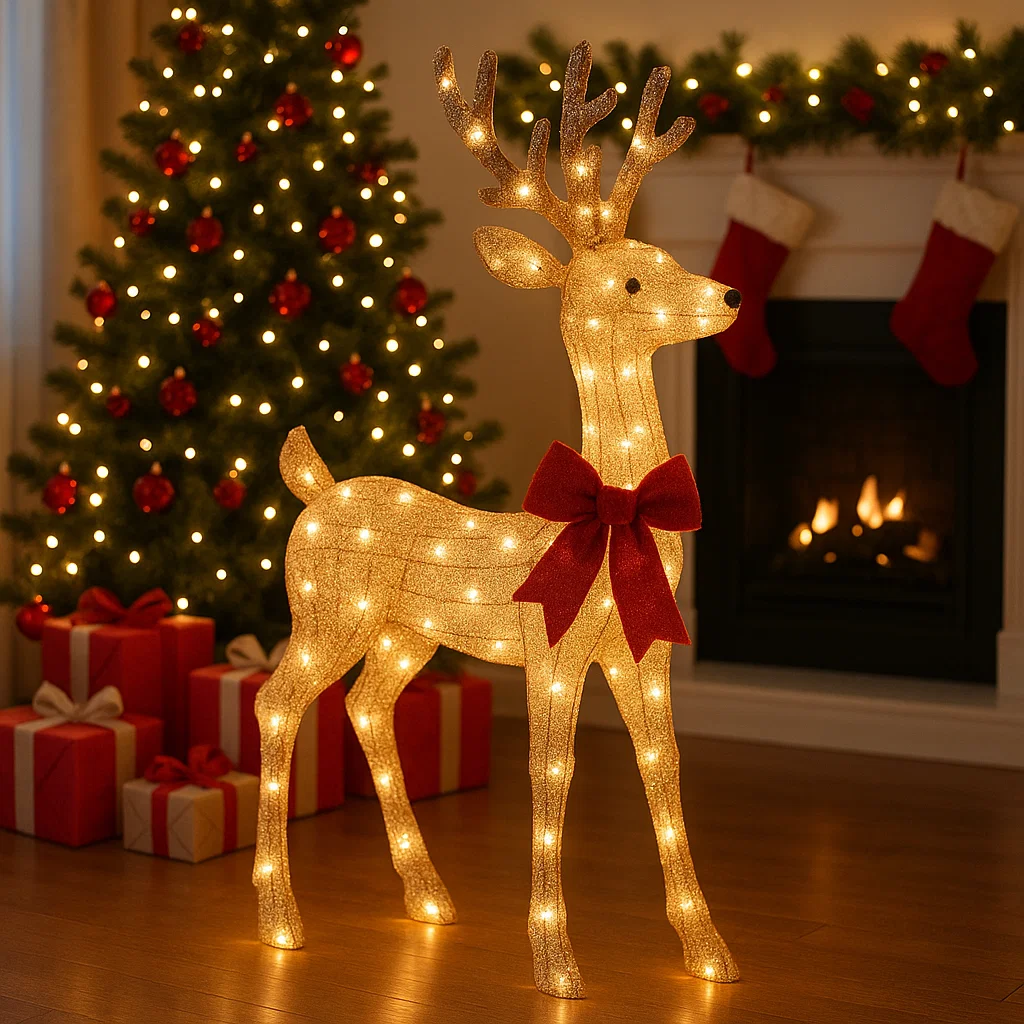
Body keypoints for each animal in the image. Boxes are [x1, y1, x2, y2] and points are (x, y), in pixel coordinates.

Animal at [252, 41, 742, 999]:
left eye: (665, 253)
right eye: (633, 279)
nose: (731, 294)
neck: (612, 512)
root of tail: (315, 490)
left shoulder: (643, 652)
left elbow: (663, 770)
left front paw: (709, 951)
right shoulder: (549, 650)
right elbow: (551, 773)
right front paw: (557, 963)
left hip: (405, 634)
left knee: (366, 707)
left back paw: (429, 897)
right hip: (328, 613)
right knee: (274, 704)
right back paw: (279, 920)